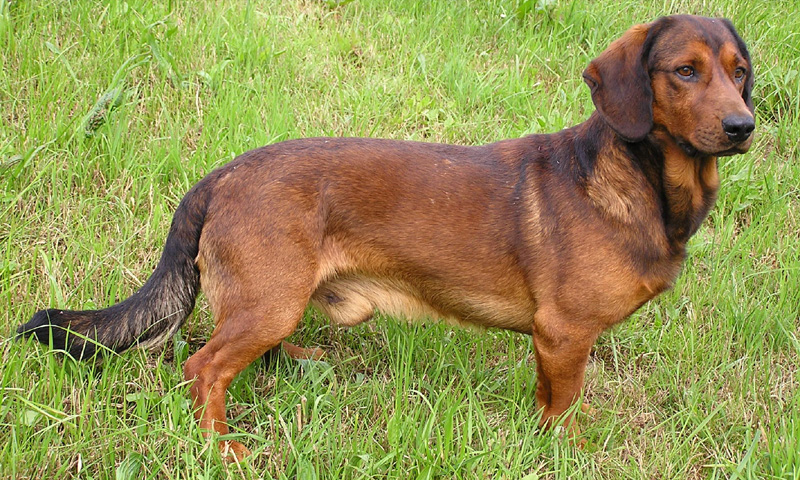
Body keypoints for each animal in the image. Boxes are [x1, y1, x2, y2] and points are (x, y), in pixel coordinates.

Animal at [18, 15, 755, 460]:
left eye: (738, 70)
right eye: (684, 71)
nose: (743, 126)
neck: (639, 178)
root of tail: (223, 174)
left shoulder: (557, 342)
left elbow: (550, 402)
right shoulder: (564, 334)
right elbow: (563, 407)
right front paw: (566, 453)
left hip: (272, 303)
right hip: (269, 300)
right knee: (204, 369)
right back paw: (225, 449)